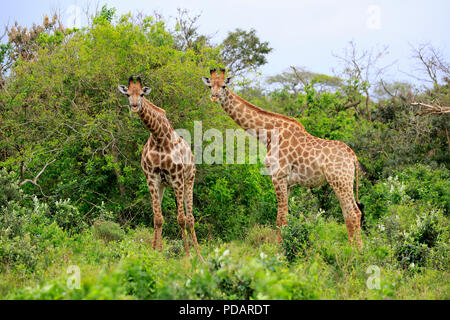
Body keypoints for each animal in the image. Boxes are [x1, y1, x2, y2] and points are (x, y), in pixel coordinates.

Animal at [119, 75, 204, 260]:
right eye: (128, 94)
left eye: (142, 94)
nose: (134, 106)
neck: (159, 137)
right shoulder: (152, 178)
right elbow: (158, 219)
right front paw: (155, 254)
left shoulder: (177, 179)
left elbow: (181, 219)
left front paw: (187, 256)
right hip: (164, 186)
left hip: (189, 181)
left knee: (190, 218)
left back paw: (199, 257)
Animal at [203, 69, 366, 249]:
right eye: (210, 85)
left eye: (224, 86)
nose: (214, 97)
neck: (267, 134)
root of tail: (353, 156)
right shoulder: (288, 183)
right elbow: (285, 215)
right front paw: (285, 245)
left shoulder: (278, 176)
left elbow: (280, 217)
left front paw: (280, 249)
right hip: (343, 182)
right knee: (350, 213)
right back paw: (353, 248)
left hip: (340, 180)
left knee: (353, 213)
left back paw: (357, 251)